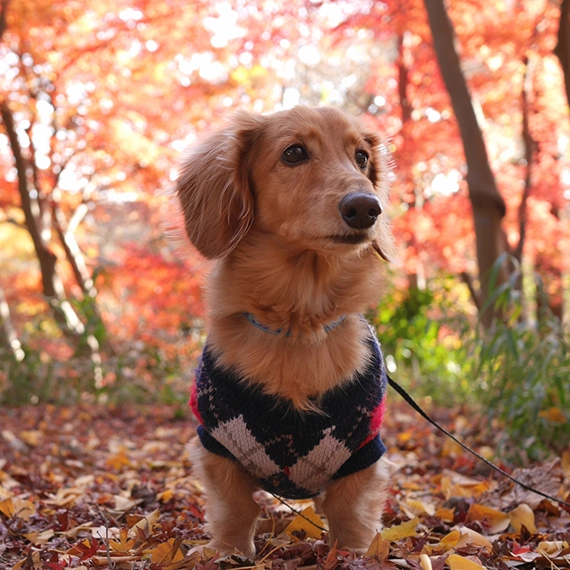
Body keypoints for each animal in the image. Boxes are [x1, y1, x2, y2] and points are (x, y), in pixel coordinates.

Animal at [176, 105, 394, 556]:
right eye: (294, 153)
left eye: (361, 157)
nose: (367, 208)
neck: (299, 325)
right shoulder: (216, 445)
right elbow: (234, 509)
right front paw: (230, 554)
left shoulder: (364, 454)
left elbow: (350, 515)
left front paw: (351, 556)